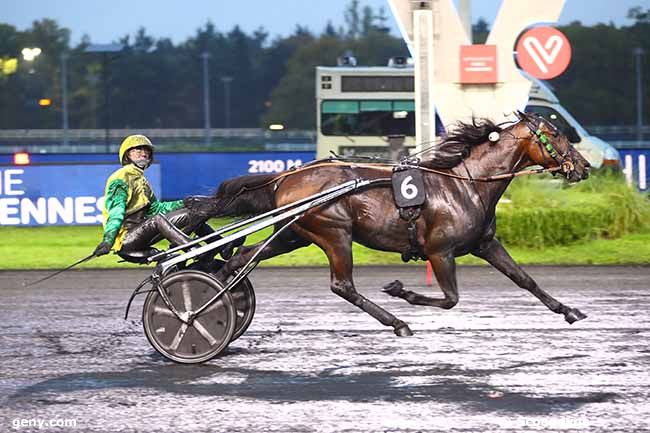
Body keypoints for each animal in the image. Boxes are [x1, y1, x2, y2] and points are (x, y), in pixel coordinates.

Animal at [200, 110, 588, 334]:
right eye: (555, 135)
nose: (583, 167)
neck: (467, 183)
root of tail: (286, 178)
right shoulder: (440, 252)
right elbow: (450, 299)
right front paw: (402, 291)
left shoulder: (485, 244)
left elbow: (524, 279)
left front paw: (568, 310)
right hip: (334, 233)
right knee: (342, 286)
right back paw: (397, 322)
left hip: (295, 234)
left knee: (240, 258)